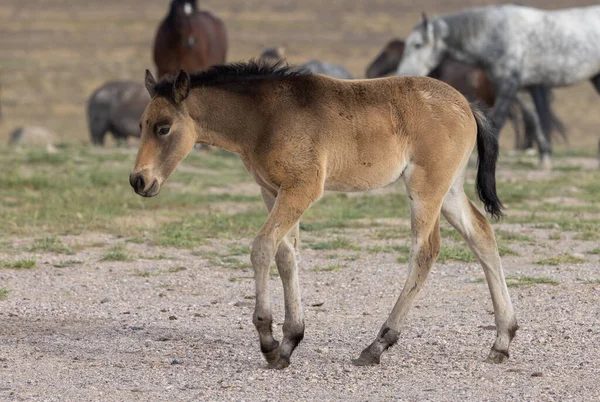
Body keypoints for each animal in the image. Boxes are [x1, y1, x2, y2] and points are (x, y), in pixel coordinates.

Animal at [131, 61, 516, 370]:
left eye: (163, 127)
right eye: (141, 124)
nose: (139, 181)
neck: (266, 117)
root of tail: (466, 104)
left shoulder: (303, 188)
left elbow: (262, 247)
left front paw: (268, 341)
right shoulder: (272, 191)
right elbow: (286, 256)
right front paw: (289, 341)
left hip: (425, 188)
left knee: (425, 251)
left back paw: (378, 345)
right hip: (449, 190)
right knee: (482, 234)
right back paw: (502, 339)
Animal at [394, 3, 600, 166]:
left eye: (418, 44)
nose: (403, 73)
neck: (496, 34)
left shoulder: (508, 84)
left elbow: (498, 120)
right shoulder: (521, 89)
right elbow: (533, 117)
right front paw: (545, 157)